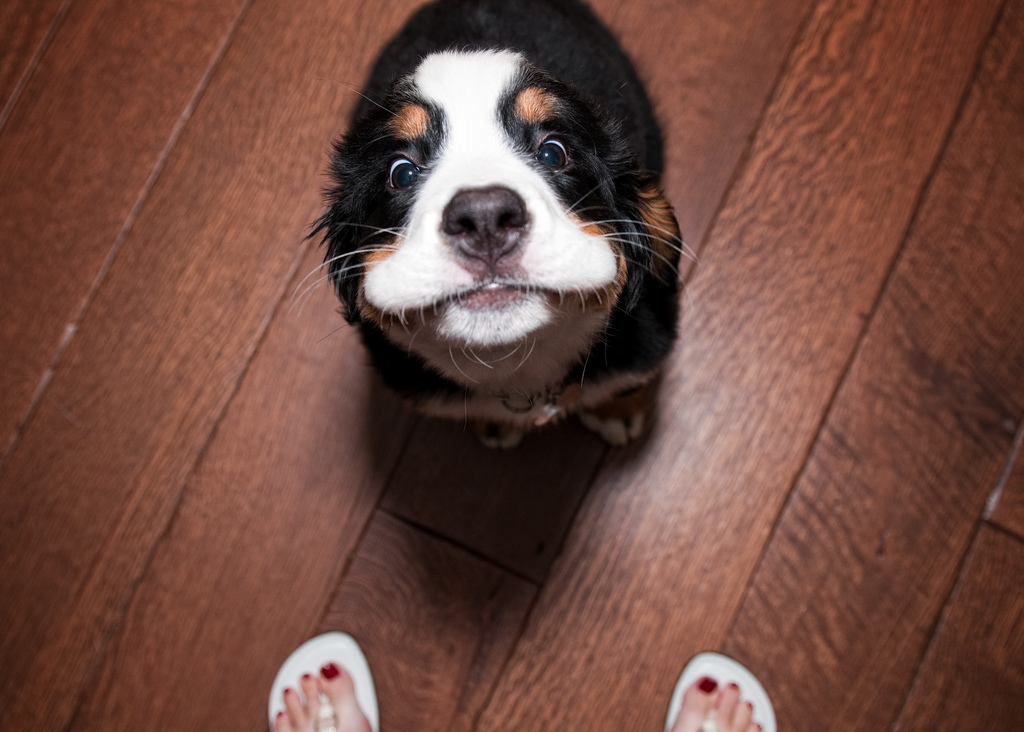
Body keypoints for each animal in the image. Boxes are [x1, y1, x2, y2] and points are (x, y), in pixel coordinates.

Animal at [315, 0, 682, 448]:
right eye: (401, 173)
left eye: (553, 153)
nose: (485, 216)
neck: (519, 371)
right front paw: (497, 423)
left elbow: (627, 381)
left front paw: (619, 410)